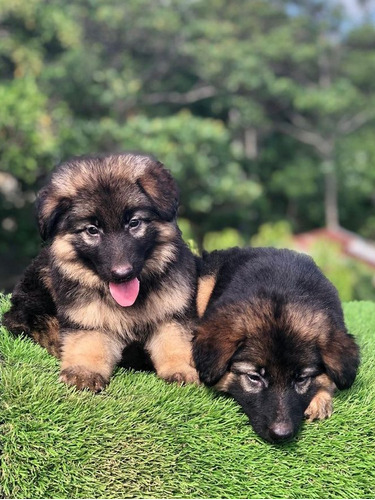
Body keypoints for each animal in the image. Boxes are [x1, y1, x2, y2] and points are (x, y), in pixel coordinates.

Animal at [2, 152, 200, 390]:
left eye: (134, 223)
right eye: (92, 230)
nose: (122, 274)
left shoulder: (173, 311)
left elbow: (174, 339)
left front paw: (180, 368)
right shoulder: (87, 316)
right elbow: (88, 341)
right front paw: (83, 371)